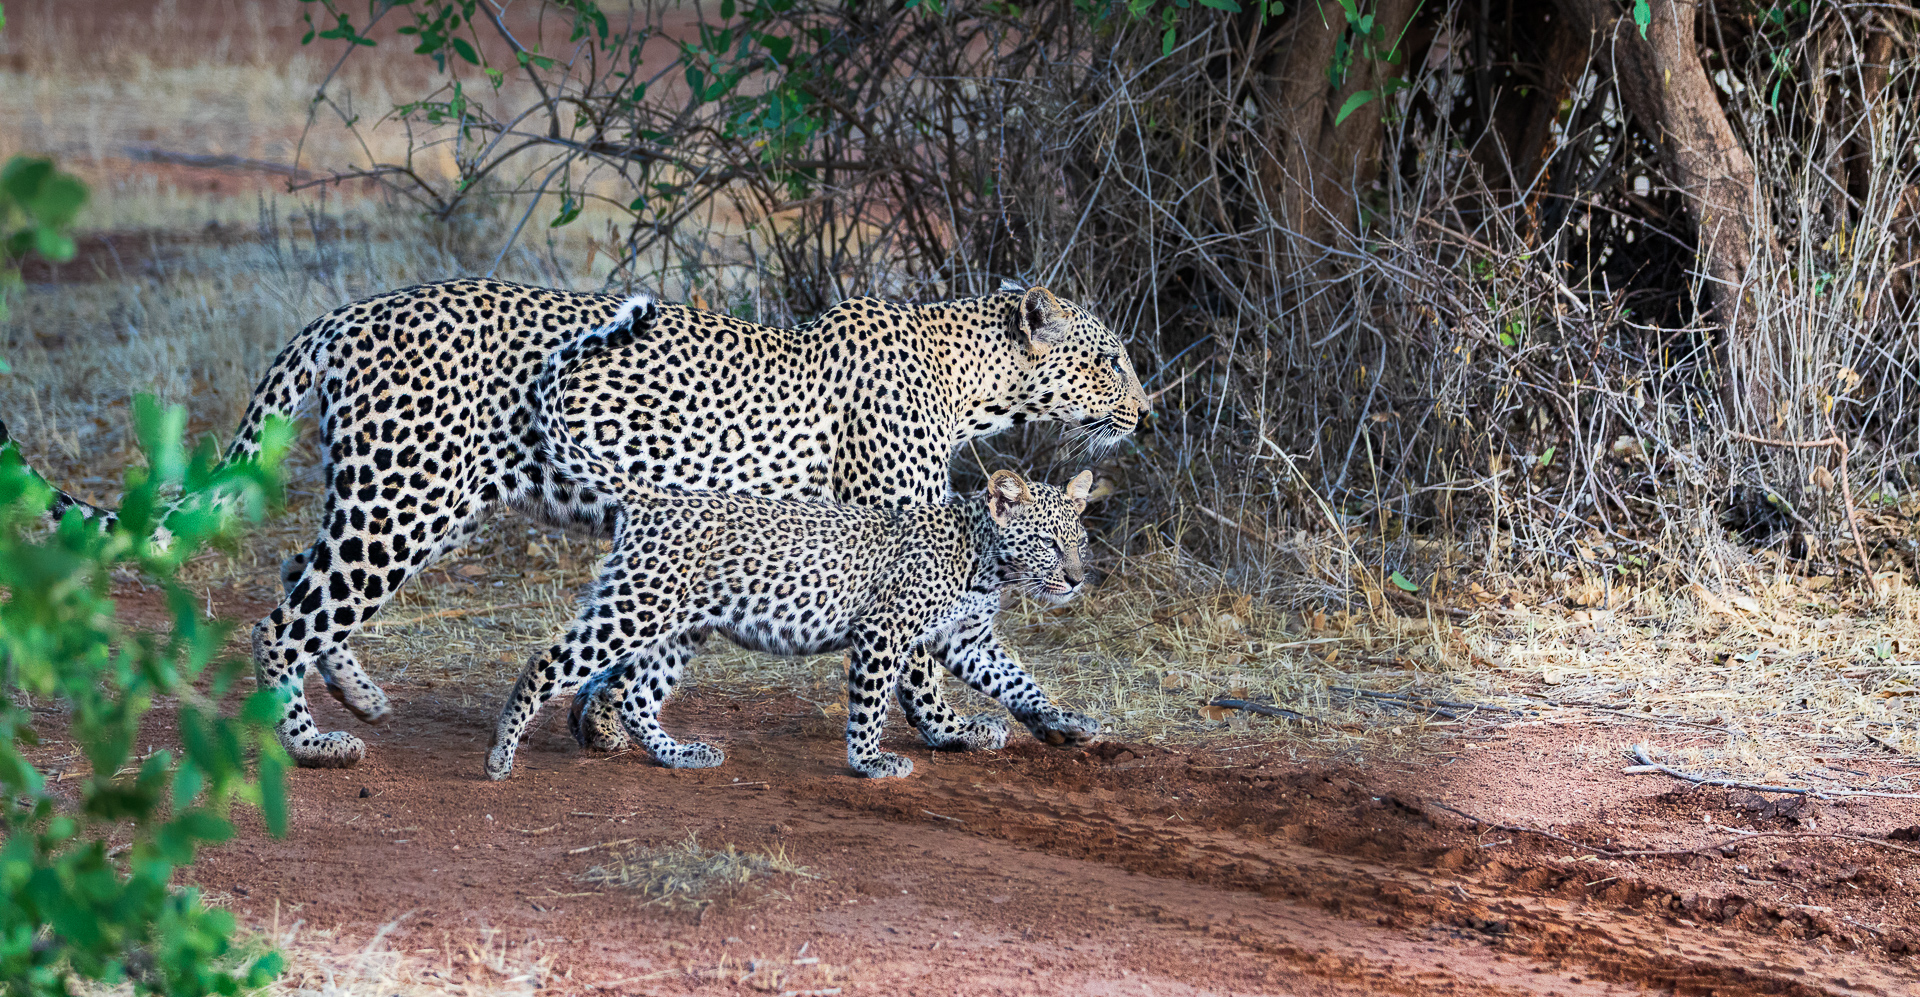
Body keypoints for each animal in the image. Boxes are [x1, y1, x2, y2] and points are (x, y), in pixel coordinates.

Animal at [485, 467, 1098, 780]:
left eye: (1081, 541)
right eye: (1049, 543)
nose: (1075, 579)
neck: (989, 564)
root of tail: (651, 496)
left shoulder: (967, 640)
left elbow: (1019, 682)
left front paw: (1064, 721)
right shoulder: (885, 631)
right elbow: (872, 704)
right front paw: (870, 760)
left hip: (677, 627)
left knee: (635, 697)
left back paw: (683, 754)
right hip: (637, 609)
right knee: (545, 661)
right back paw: (500, 757)